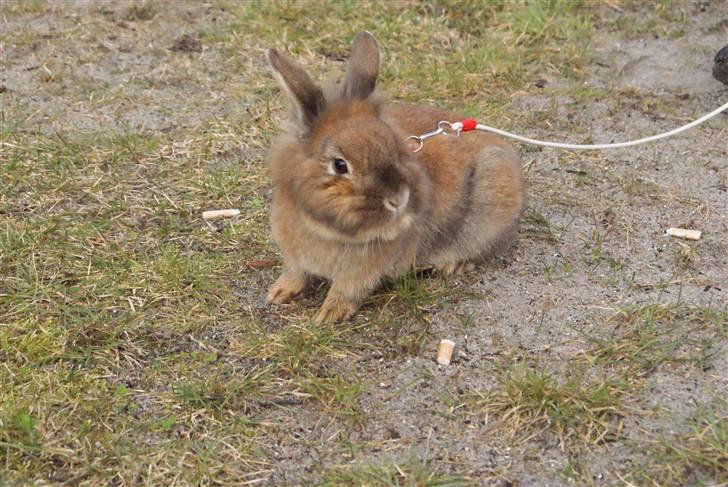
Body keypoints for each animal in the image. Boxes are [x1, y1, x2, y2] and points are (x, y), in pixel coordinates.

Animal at [264, 32, 528, 326]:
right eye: (339, 165)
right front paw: (278, 293)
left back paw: (448, 265)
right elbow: (296, 273)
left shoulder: (362, 271)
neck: (324, 229)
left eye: (394, 147)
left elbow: (346, 290)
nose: (399, 199)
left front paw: (328, 315)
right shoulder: (295, 256)